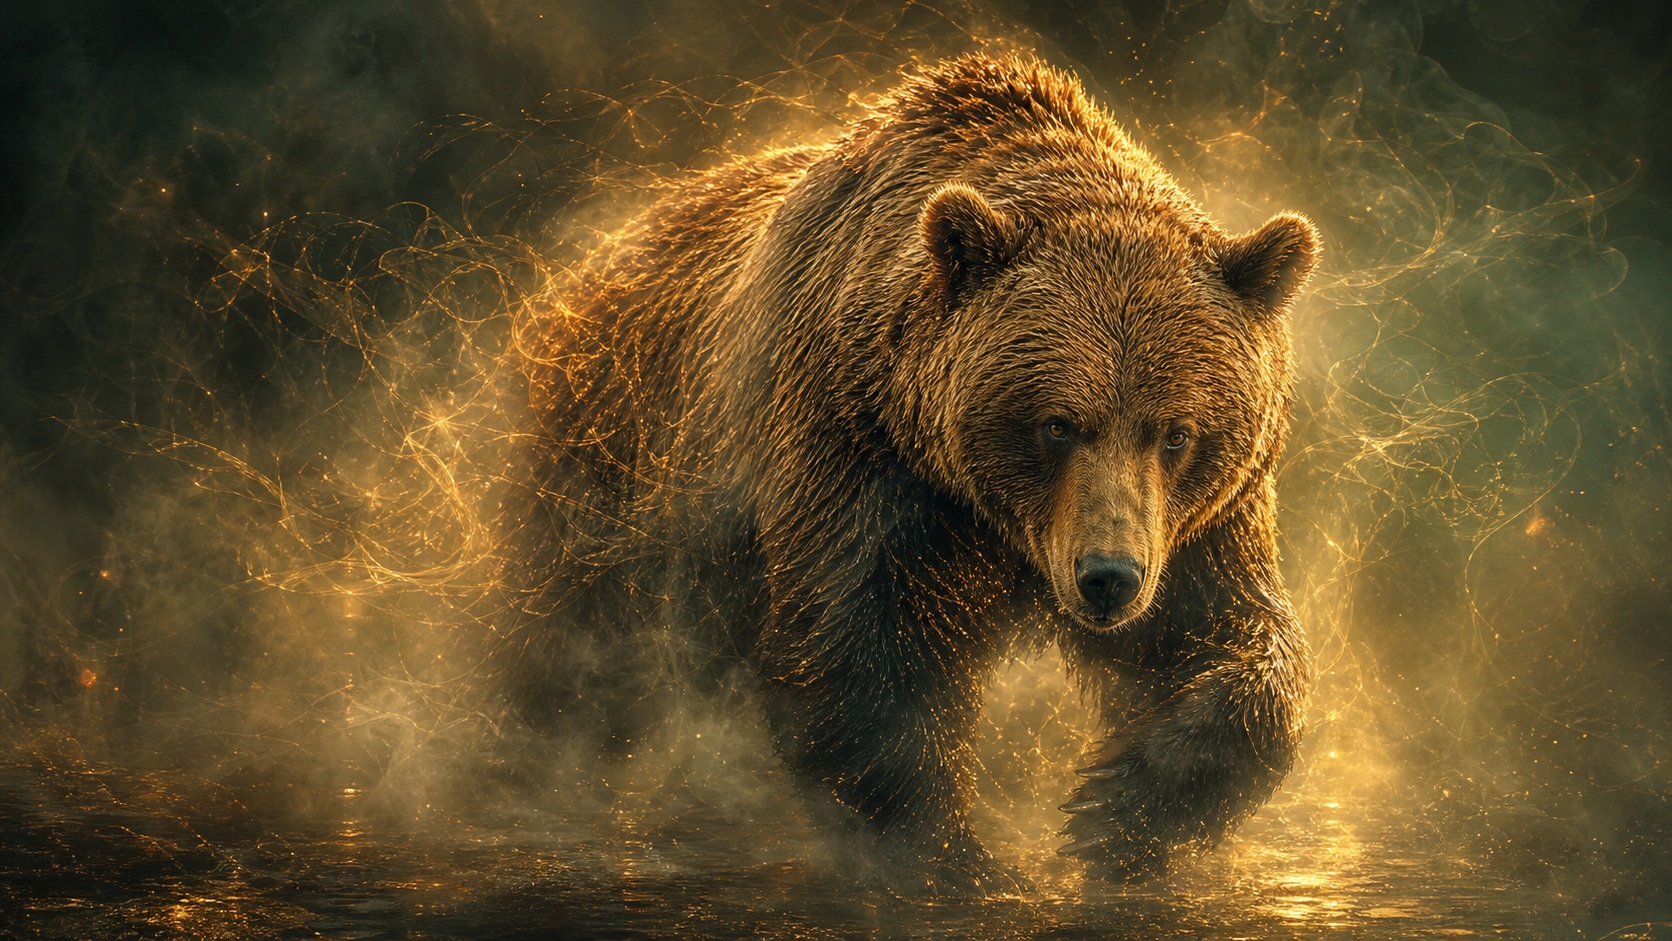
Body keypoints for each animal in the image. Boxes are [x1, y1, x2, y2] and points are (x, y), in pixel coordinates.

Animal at [500, 54, 1318, 895]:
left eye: (1177, 433)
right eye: (1058, 423)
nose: (1108, 577)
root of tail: (574, 280)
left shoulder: (1196, 521)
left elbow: (1224, 638)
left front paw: (1113, 808)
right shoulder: (856, 451)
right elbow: (862, 652)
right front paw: (953, 853)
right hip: (612, 473)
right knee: (574, 652)